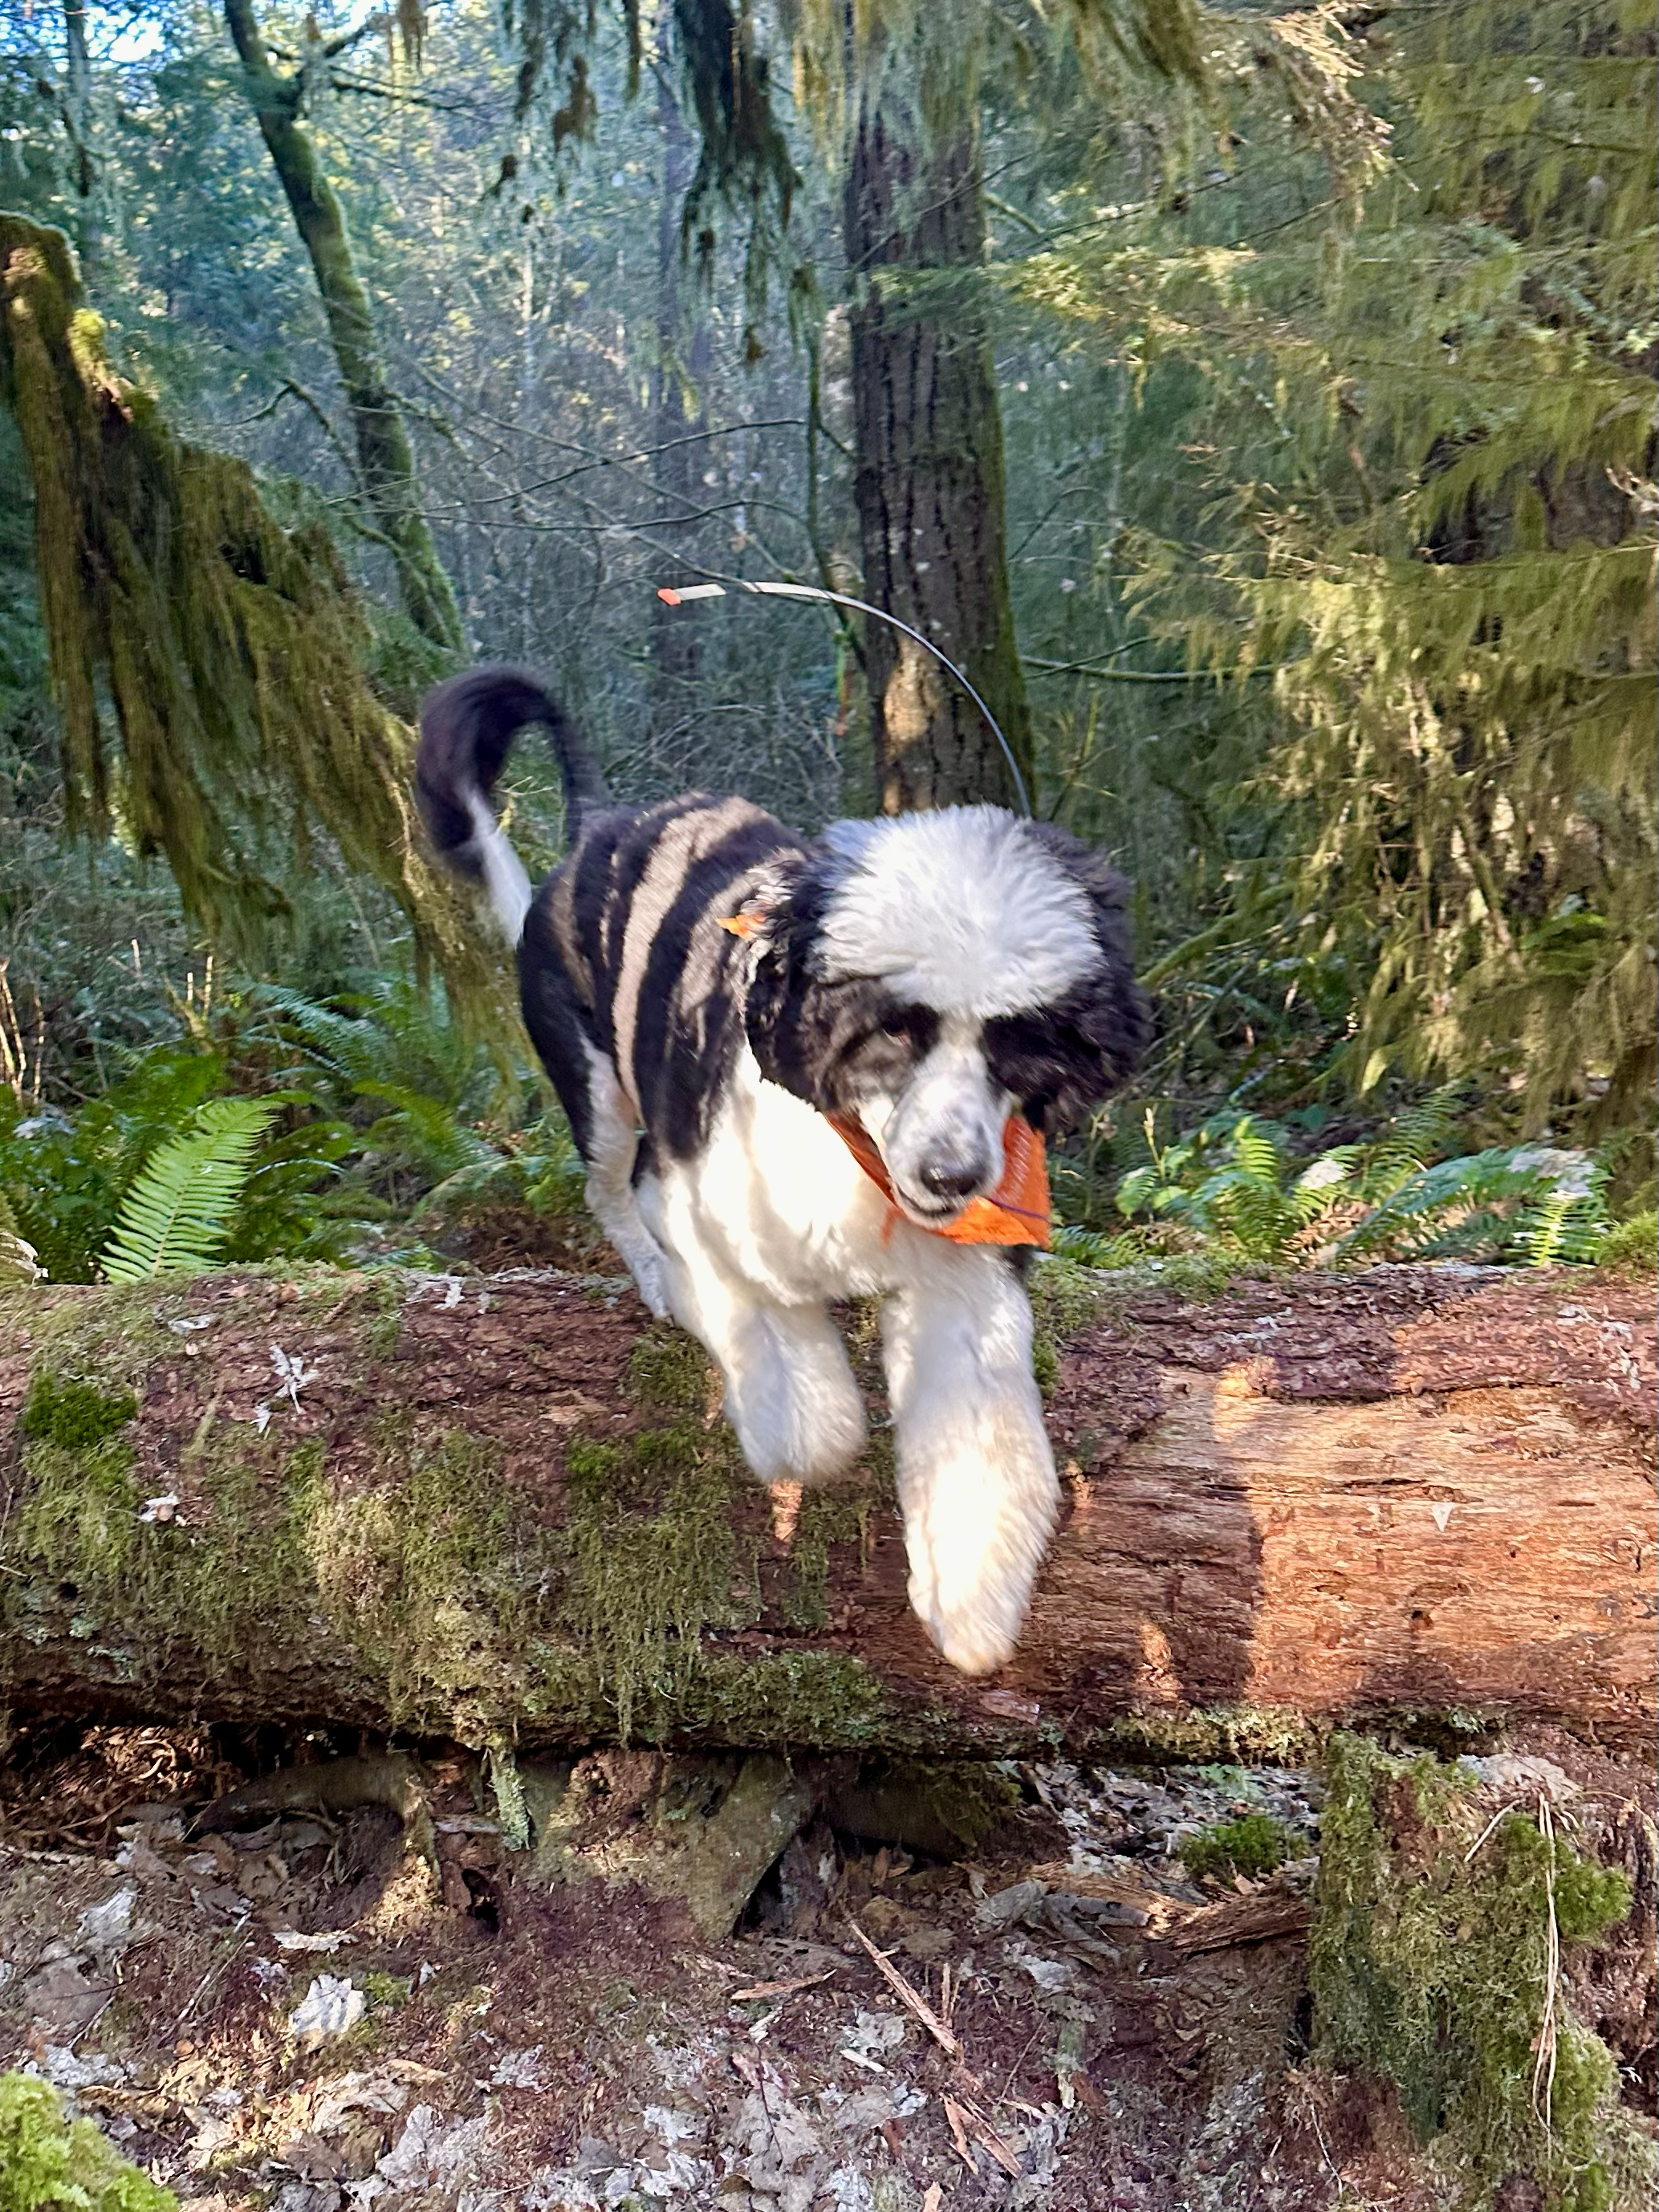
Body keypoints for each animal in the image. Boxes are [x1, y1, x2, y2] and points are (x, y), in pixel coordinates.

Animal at [417, 672, 1141, 1672]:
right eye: (892, 1029)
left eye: (1019, 1042)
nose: (953, 1174)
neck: (857, 1155)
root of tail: (601, 825)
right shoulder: (711, 1216)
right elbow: (808, 1410)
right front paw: (796, 1440)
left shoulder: (962, 1284)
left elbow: (977, 1443)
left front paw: (972, 1596)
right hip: (598, 1087)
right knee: (610, 1185)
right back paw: (651, 1275)